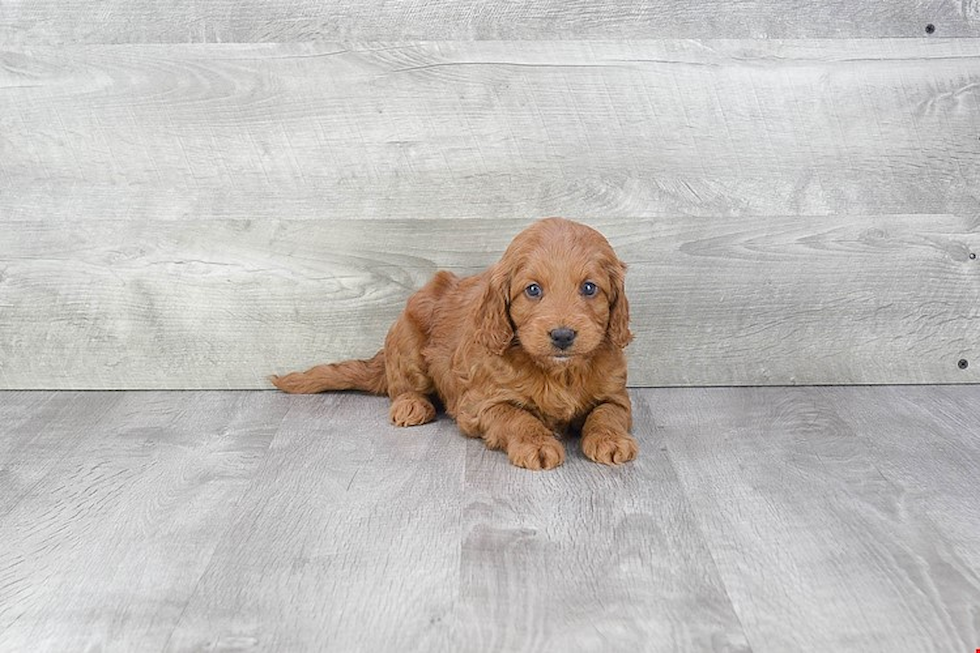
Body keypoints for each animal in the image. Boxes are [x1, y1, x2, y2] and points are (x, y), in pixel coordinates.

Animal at [270, 218, 636, 468]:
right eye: (533, 290)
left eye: (589, 288)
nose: (562, 335)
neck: (559, 372)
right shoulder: (482, 403)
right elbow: (515, 416)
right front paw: (535, 444)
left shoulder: (616, 395)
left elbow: (607, 413)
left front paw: (611, 440)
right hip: (409, 342)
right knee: (401, 386)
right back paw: (411, 406)